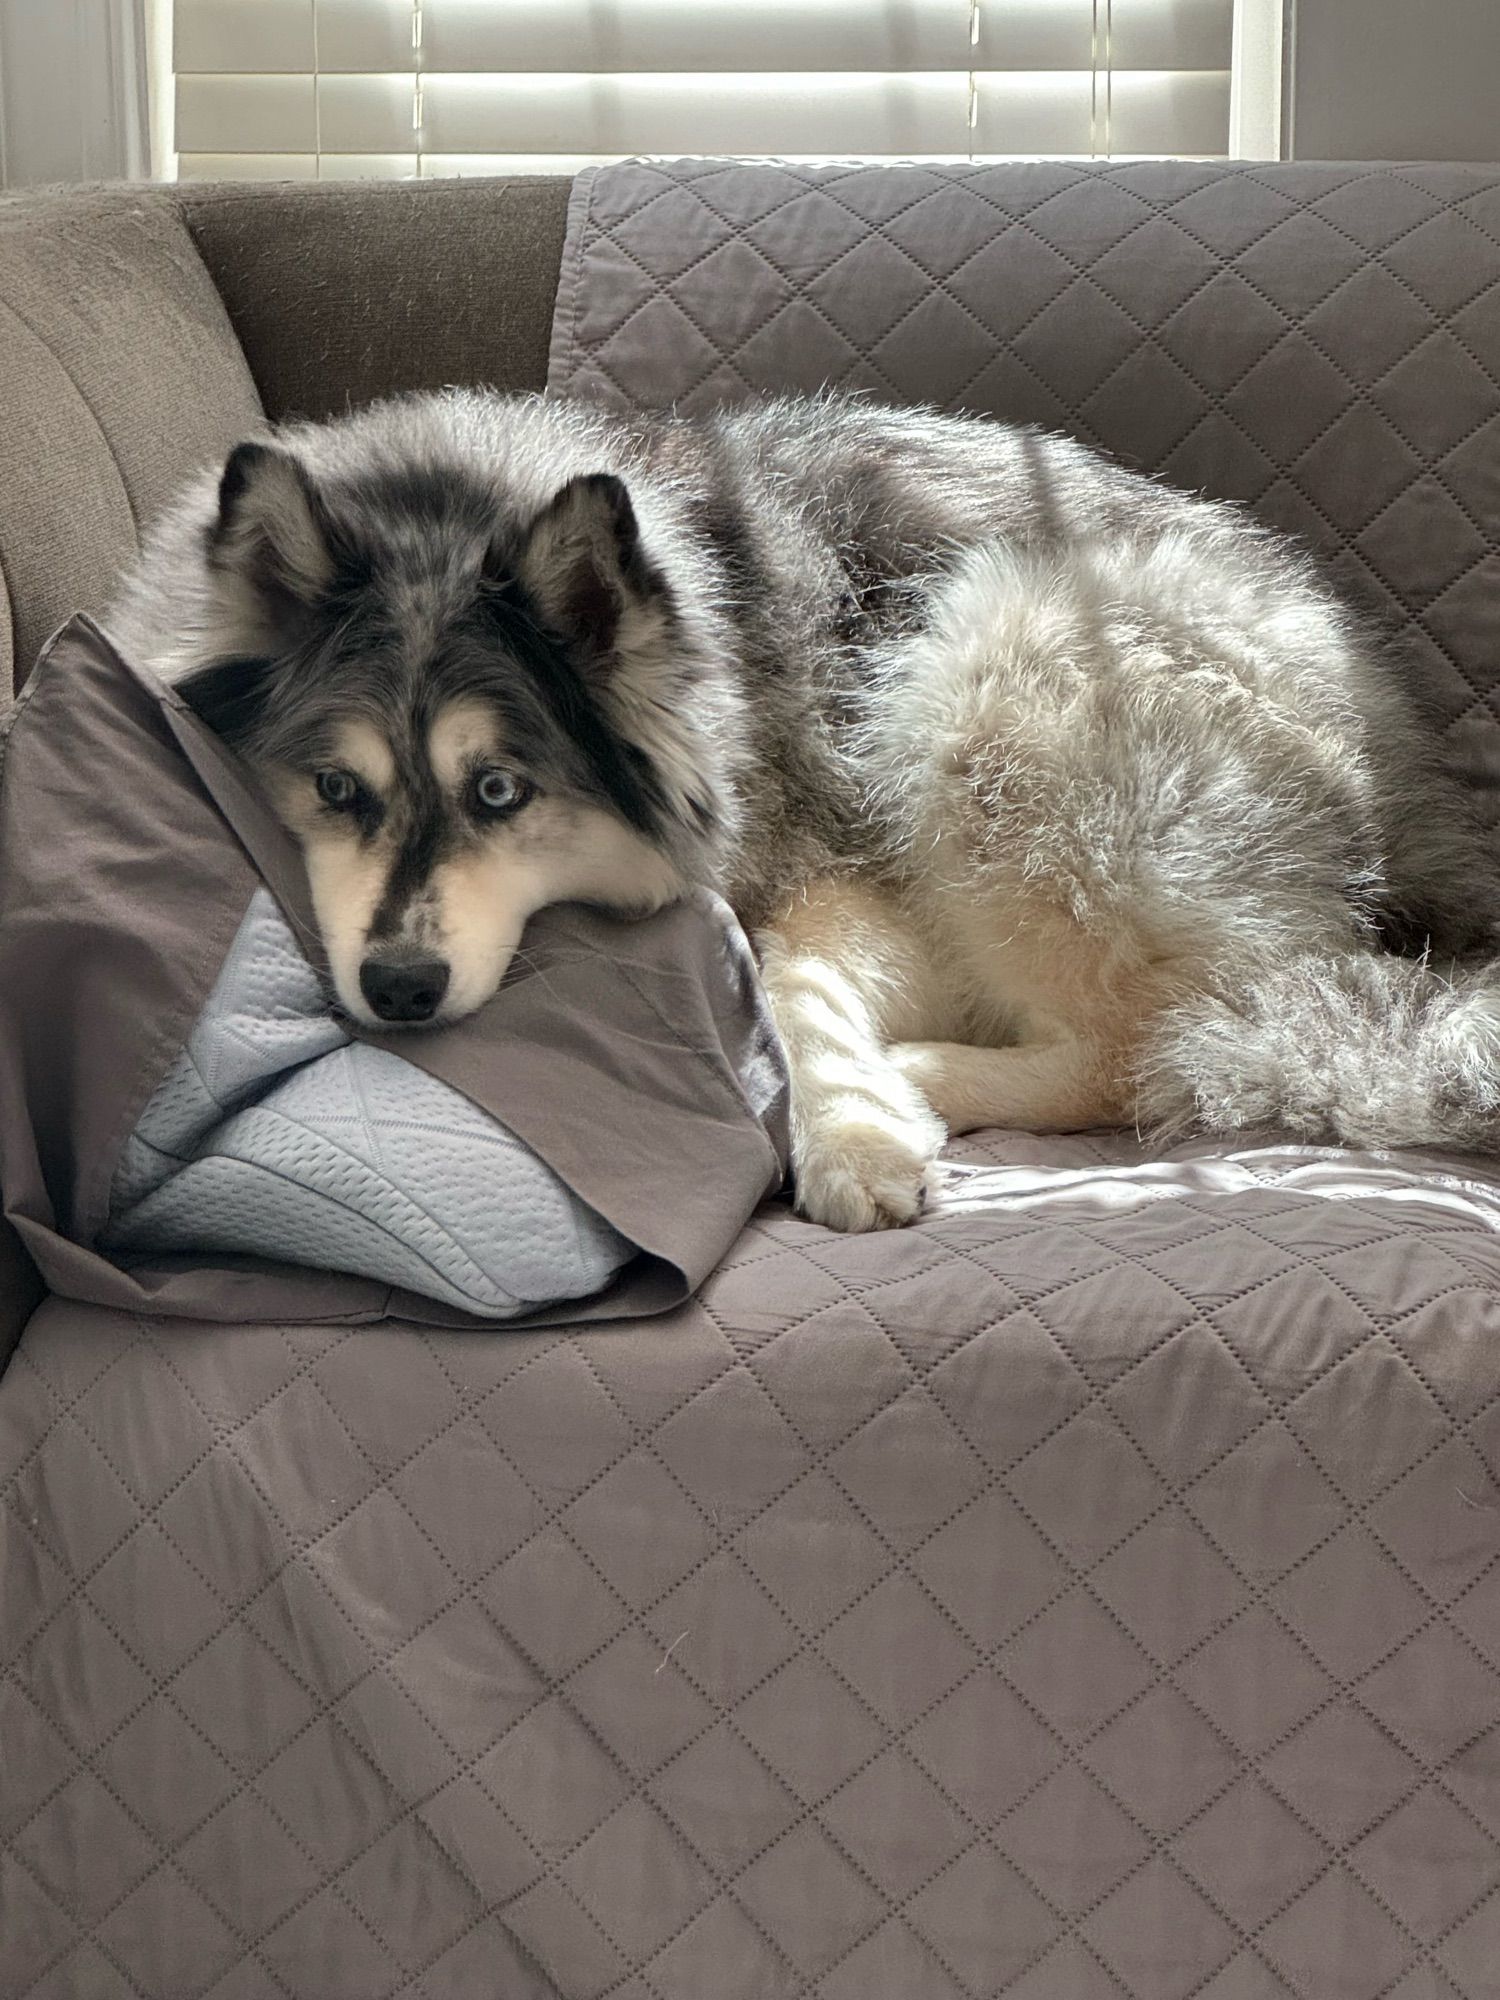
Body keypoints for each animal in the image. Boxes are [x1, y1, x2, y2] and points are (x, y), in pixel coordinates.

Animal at [111, 386, 1500, 1232]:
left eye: (500, 790)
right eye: (335, 787)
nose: (398, 989)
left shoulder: (860, 875)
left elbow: (784, 973)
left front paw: (853, 1133)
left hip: (984, 676)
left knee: (1154, 1042)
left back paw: (925, 1071)